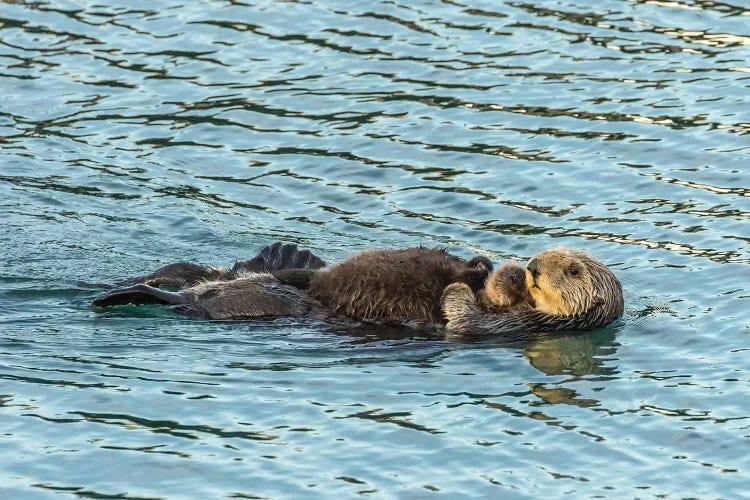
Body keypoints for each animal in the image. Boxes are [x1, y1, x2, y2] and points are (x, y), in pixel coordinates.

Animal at [444, 248, 624, 338]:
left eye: (574, 271)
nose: (533, 266)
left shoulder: (516, 322)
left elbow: (466, 318)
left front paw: (457, 288)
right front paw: (511, 274)